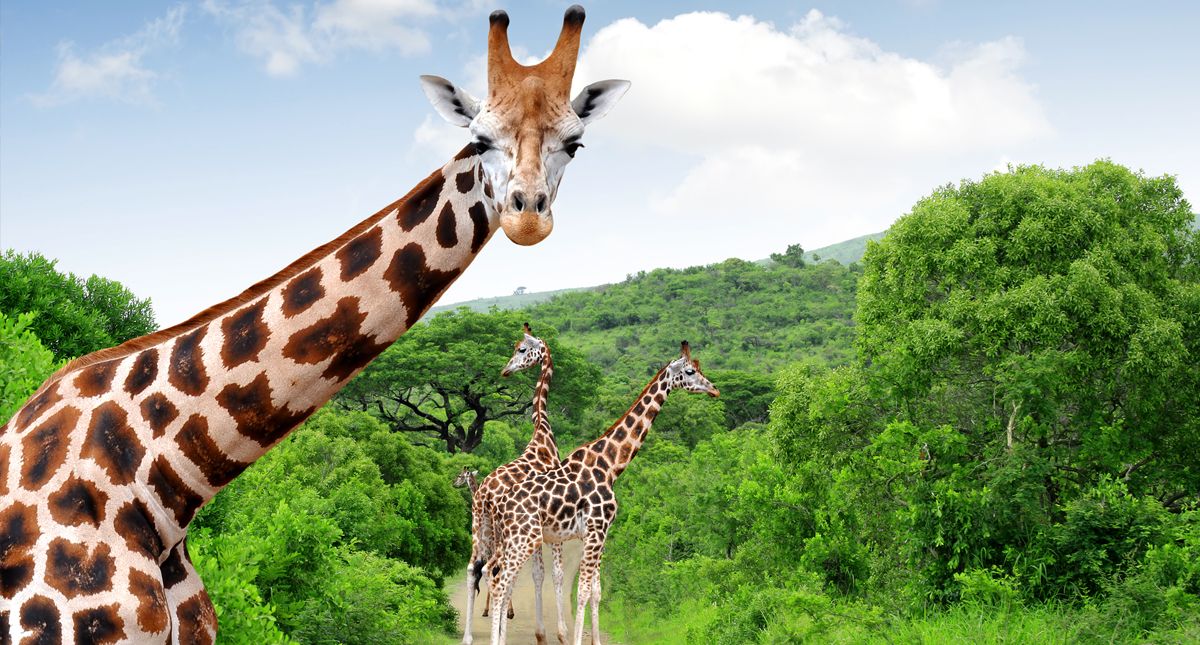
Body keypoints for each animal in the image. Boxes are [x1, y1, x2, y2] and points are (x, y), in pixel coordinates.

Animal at [460, 321, 568, 642]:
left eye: (521, 349)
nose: (506, 370)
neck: (543, 436)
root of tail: (483, 494)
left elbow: (537, 574)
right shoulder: (552, 528)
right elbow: (552, 574)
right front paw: (557, 633)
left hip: (479, 527)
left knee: (474, 569)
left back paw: (469, 636)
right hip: (502, 534)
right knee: (494, 572)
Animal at [484, 338, 715, 637]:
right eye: (689, 371)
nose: (714, 389)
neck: (611, 464)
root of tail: (498, 505)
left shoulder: (598, 533)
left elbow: (596, 591)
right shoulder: (596, 529)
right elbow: (583, 590)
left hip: (512, 540)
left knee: (492, 574)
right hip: (523, 540)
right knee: (500, 581)